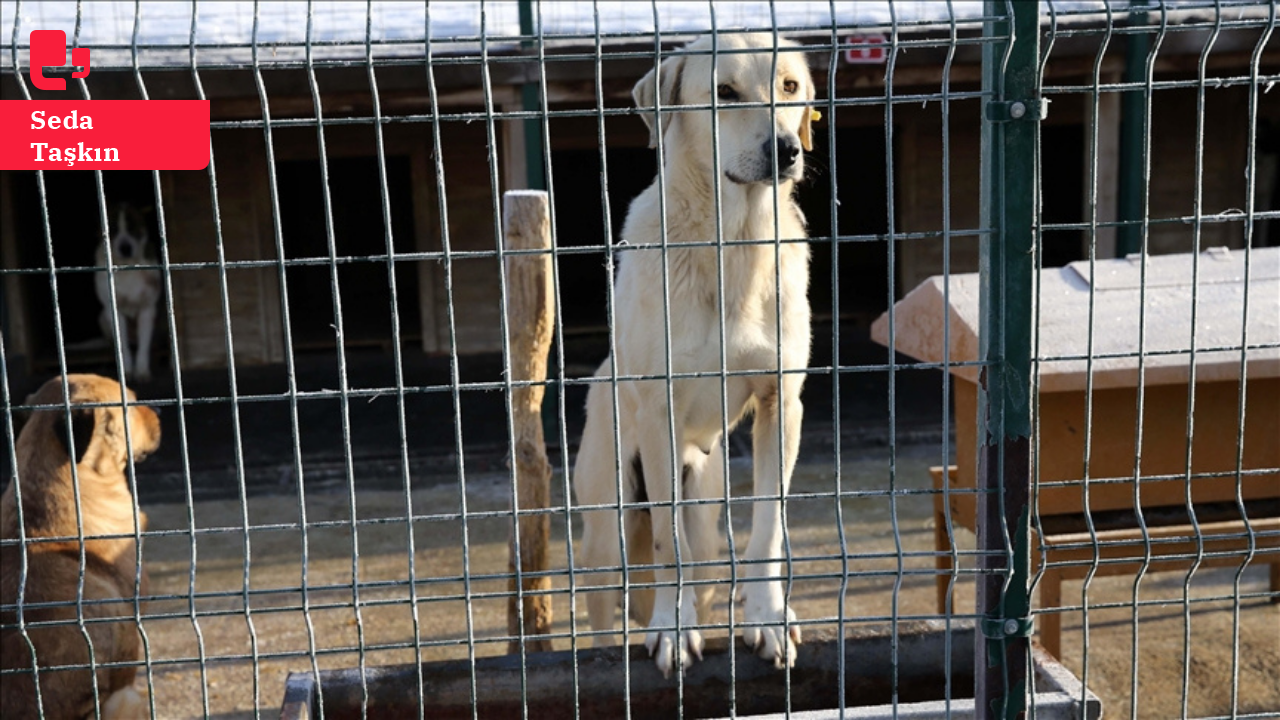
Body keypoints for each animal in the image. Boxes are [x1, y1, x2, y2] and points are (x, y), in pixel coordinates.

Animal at [94, 202, 160, 381]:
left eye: (133, 227)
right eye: (113, 229)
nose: (125, 248)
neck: (127, 268)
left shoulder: (147, 310)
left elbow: (144, 346)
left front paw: (142, 371)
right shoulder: (114, 312)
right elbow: (122, 346)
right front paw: (127, 371)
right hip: (102, 317)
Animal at [576, 32, 814, 671]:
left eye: (790, 87)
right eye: (724, 92)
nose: (786, 149)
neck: (734, 242)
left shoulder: (782, 405)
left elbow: (768, 529)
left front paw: (768, 619)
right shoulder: (660, 412)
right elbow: (667, 545)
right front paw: (671, 627)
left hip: (705, 514)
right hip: (606, 526)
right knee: (606, 604)